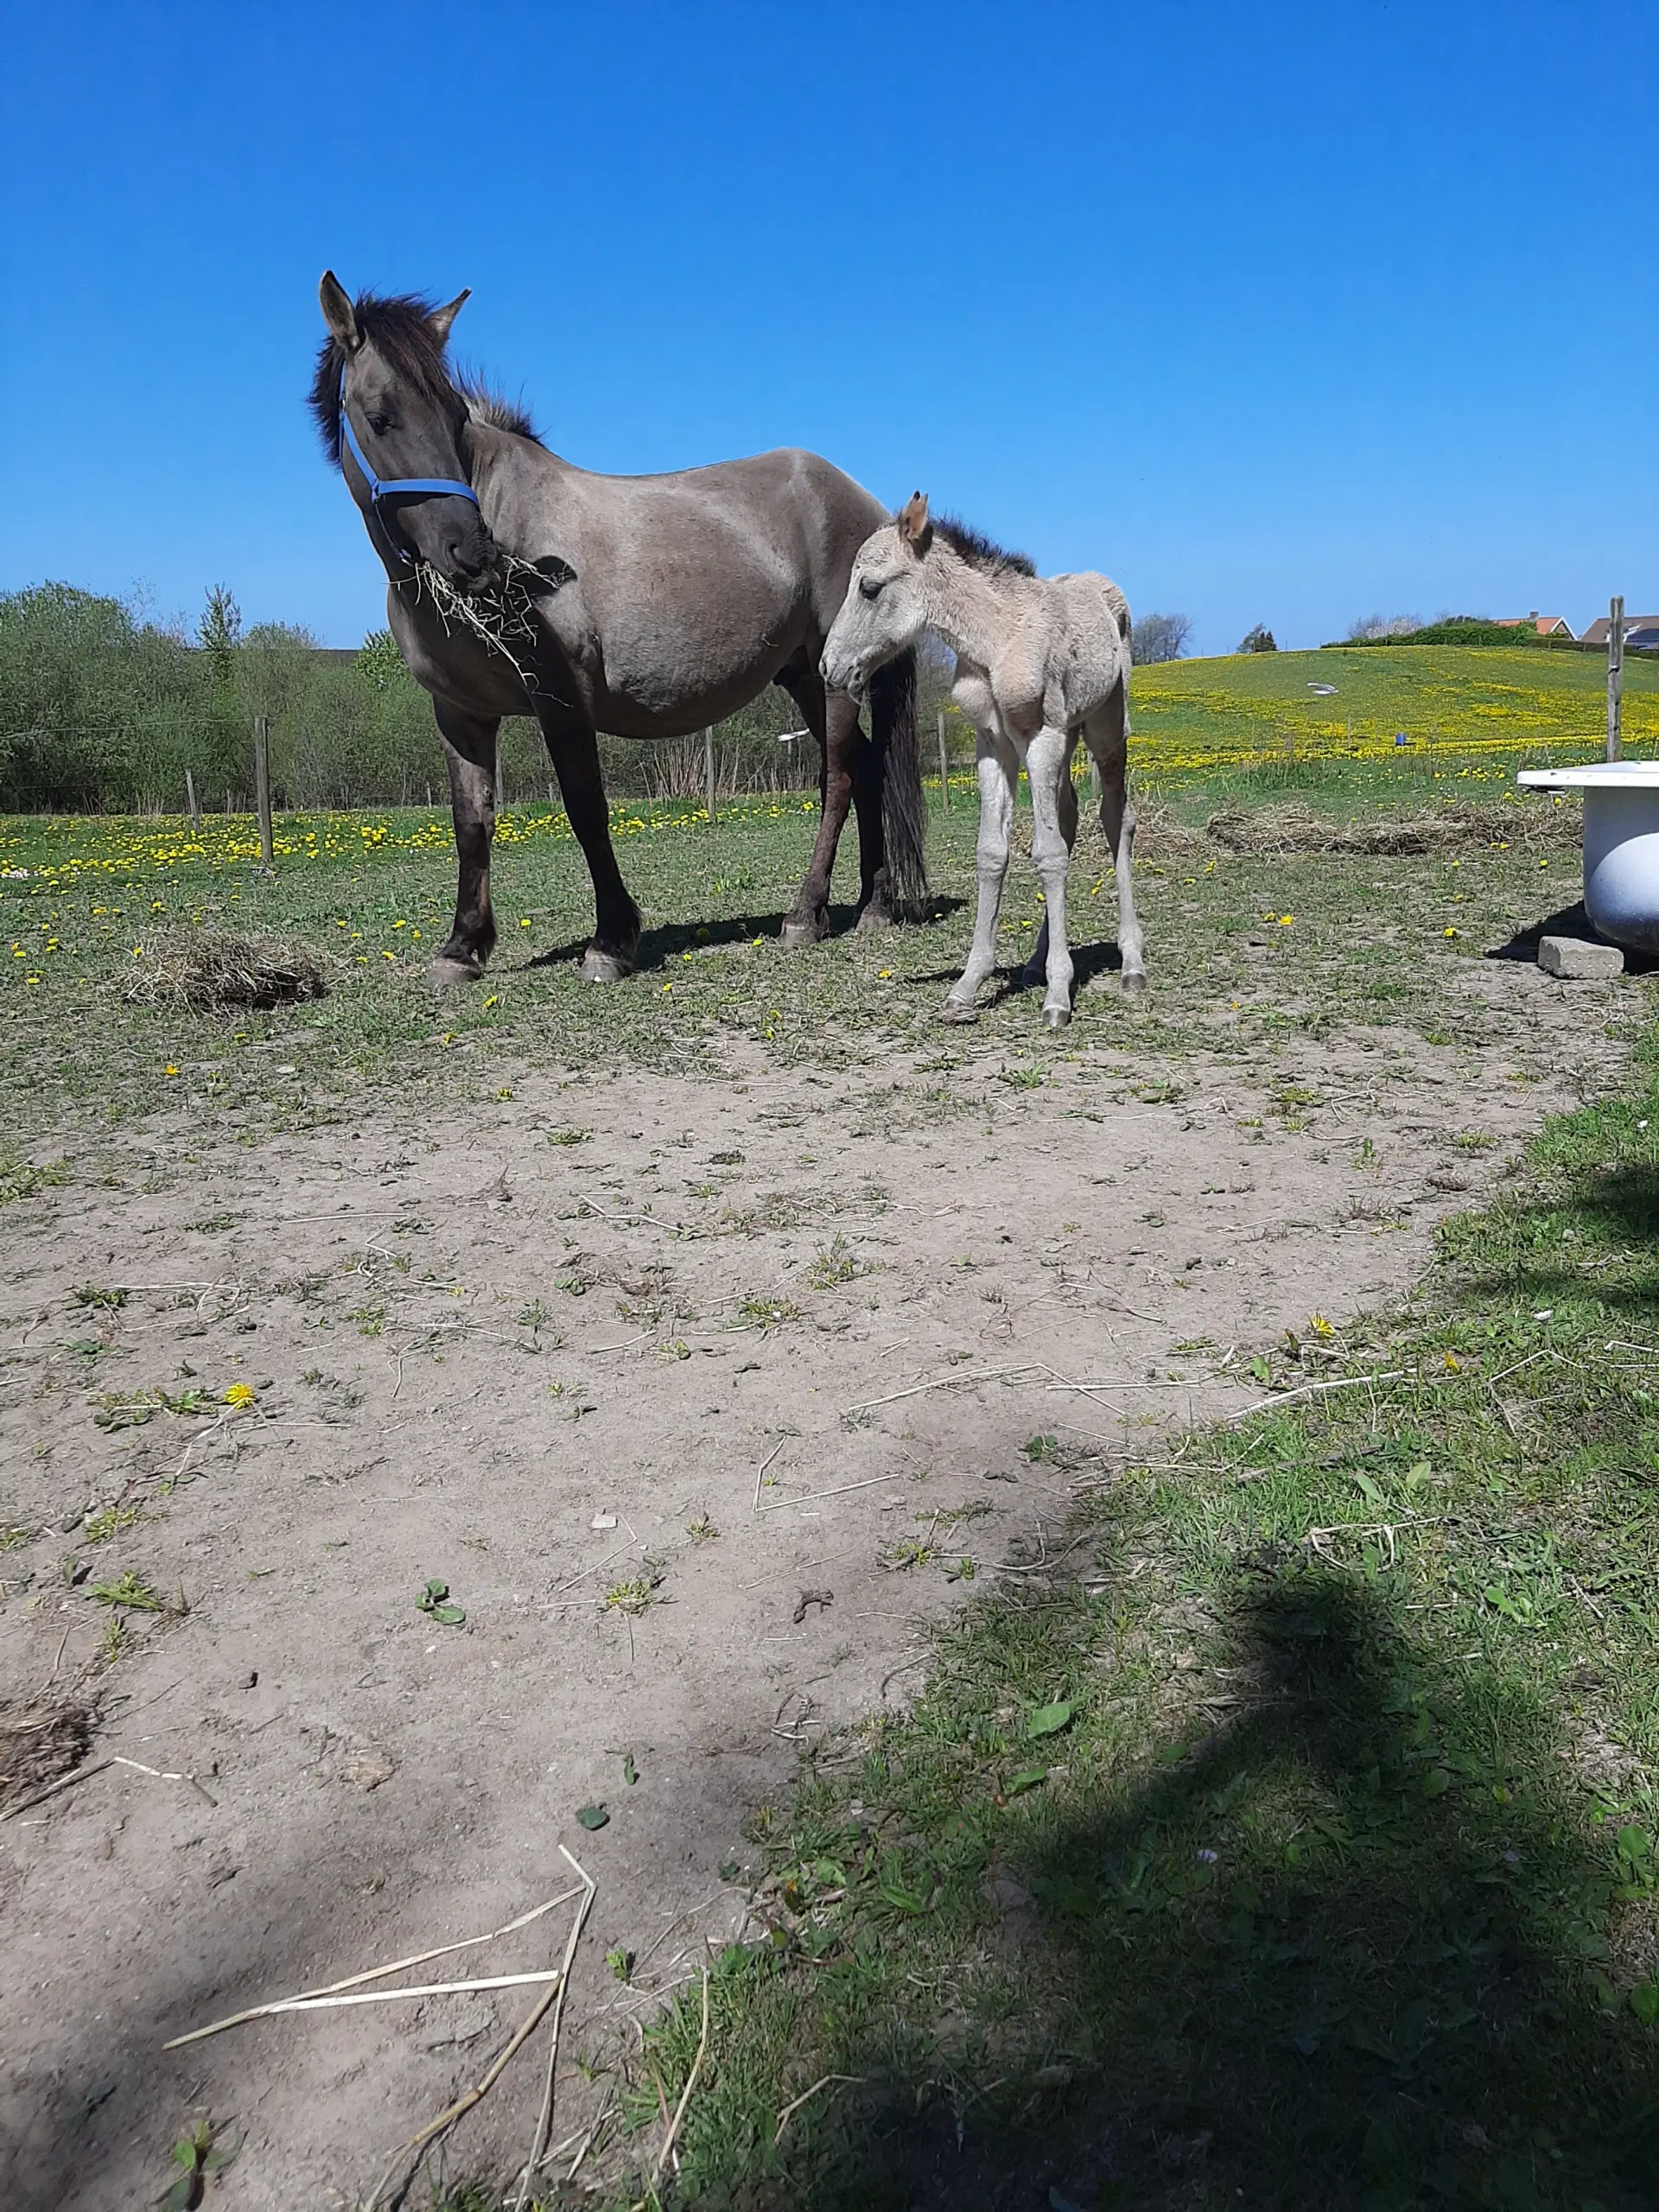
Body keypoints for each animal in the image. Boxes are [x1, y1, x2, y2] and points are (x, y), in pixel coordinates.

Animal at [309, 281, 929, 990]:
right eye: (380, 416)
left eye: (454, 416)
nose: (470, 551)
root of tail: (867, 506)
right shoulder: (459, 713)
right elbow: (471, 822)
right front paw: (462, 947)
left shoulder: (559, 698)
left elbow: (585, 808)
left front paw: (610, 941)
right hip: (803, 672)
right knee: (865, 765)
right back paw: (873, 903)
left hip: (836, 675)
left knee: (840, 774)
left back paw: (805, 914)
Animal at [827, 493, 1150, 1026]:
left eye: (869, 588)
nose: (829, 668)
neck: (997, 640)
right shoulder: (993, 745)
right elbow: (993, 853)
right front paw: (967, 985)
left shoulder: (1041, 736)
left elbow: (1048, 854)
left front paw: (1058, 997)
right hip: (1067, 737)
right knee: (1069, 815)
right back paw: (1037, 963)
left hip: (1105, 731)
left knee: (1115, 819)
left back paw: (1132, 964)